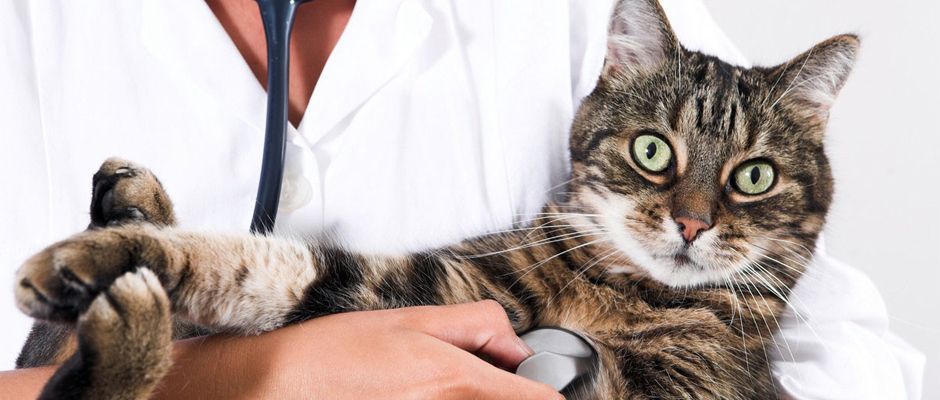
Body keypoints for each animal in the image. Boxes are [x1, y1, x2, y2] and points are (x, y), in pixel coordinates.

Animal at [12, 1, 860, 398]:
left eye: (753, 177)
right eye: (652, 150)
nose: (691, 222)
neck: (611, 302)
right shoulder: (442, 289)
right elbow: (259, 266)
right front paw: (111, 254)